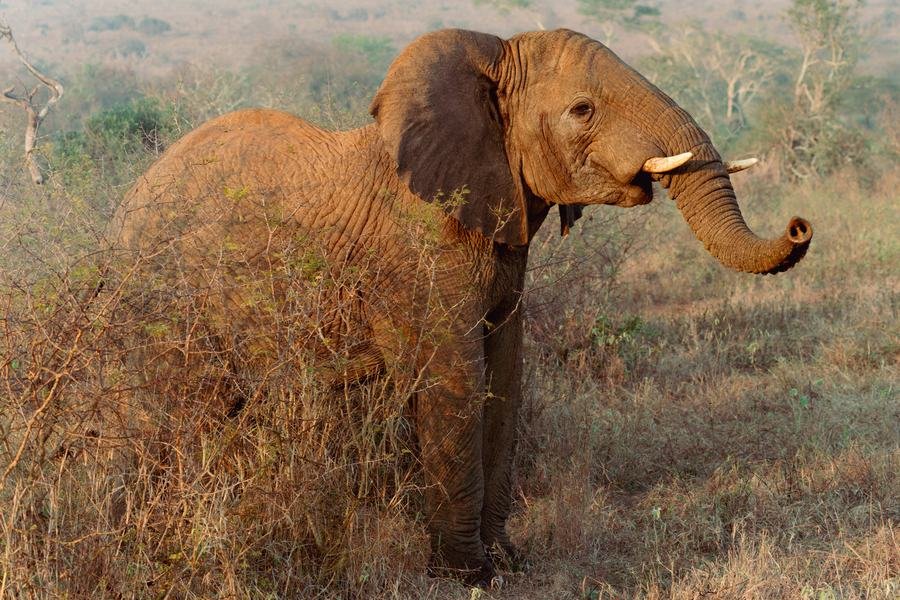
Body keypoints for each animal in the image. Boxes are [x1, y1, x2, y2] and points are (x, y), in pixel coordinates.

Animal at [112, 28, 812, 585]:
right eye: (582, 109)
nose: (800, 225)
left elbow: (505, 377)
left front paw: (510, 561)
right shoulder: (422, 251)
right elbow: (459, 381)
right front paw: (466, 575)